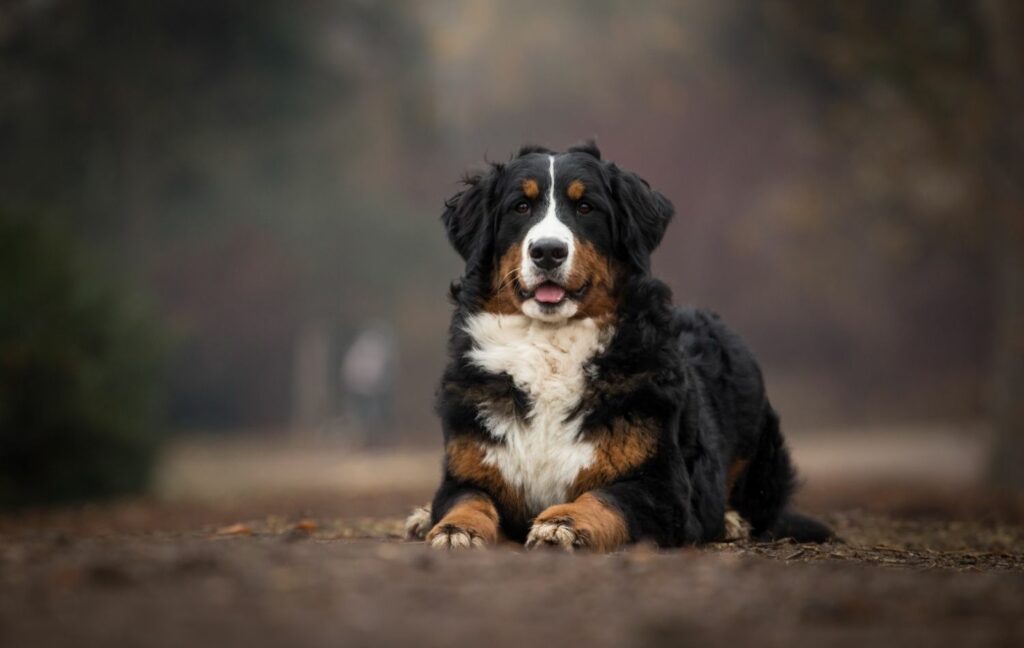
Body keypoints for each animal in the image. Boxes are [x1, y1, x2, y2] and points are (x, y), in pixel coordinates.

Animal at [401, 142, 831, 552]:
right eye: (520, 207)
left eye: (585, 207)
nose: (547, 251)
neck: (549, 344)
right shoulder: (470, 467)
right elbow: (467, 500)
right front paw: (455, 529)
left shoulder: (660, 486)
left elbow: (604, 499)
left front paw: (563, 523)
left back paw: (731, 522)